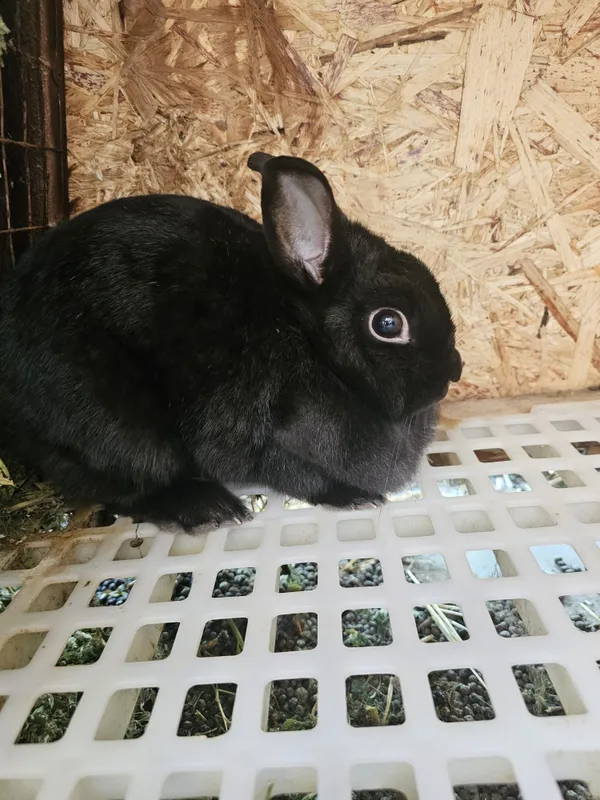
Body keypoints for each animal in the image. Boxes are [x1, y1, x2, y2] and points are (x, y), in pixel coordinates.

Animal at [0, 153, 462, 532]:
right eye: (388, 323)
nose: (454, 370)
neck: (313, 346)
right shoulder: (267, 442)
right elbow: (302, 476)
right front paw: (356, 497)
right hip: (115, 426)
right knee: (127, 485)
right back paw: (210, 508)